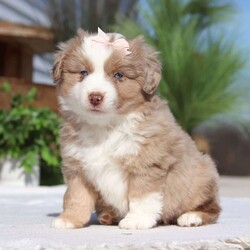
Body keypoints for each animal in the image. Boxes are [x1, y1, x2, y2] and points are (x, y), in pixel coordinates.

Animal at [51, 28, 221, 229]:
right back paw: (108, 215)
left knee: (213, 207)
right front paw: (69, 219)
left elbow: (141, 196)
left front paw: (136, 220)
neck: (105, 126)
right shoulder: (77, 167)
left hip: (200, 176)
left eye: (119, 75)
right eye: (83, 72)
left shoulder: (147, 163)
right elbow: (76, 196)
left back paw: (192, 217)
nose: (95, 97)